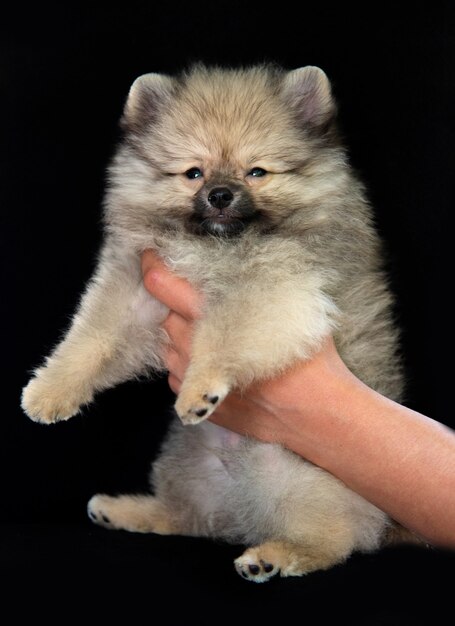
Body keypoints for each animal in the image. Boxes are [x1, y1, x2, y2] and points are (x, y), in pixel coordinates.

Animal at [21, 63, 416, 580]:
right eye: (194, 172)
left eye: (257, 171)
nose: (221, 194)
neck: (214, 247)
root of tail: (237, 511)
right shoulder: (133, 292)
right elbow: (89, 339)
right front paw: (49, 393)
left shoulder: (275, 292)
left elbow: (224, 337)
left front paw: (199, 390)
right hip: (184, 462)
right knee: (187, 516)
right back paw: (124, 509)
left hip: (295, 478)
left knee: (336, 538)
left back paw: (275, 556)